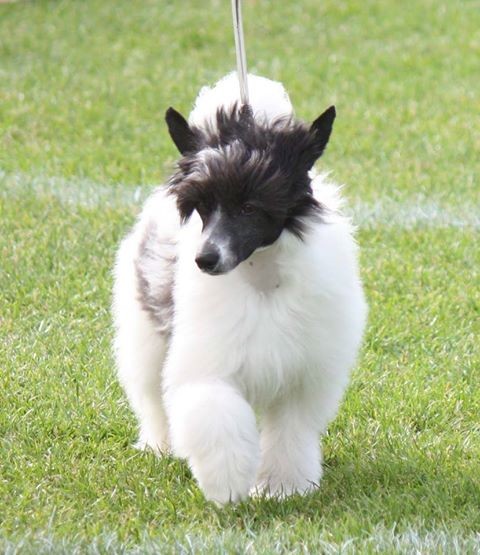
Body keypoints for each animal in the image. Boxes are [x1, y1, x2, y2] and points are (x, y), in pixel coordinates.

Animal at [112, 73, 367, 505]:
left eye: (250, 207)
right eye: (201, 206)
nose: (205, 259)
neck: (261, 278)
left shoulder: (301, 374)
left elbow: (290, 432)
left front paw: (283, 487)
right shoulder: (209, 361)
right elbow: (214, 413)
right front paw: (229, 482)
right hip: (146, 333)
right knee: (151, 396)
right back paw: (160, 446)